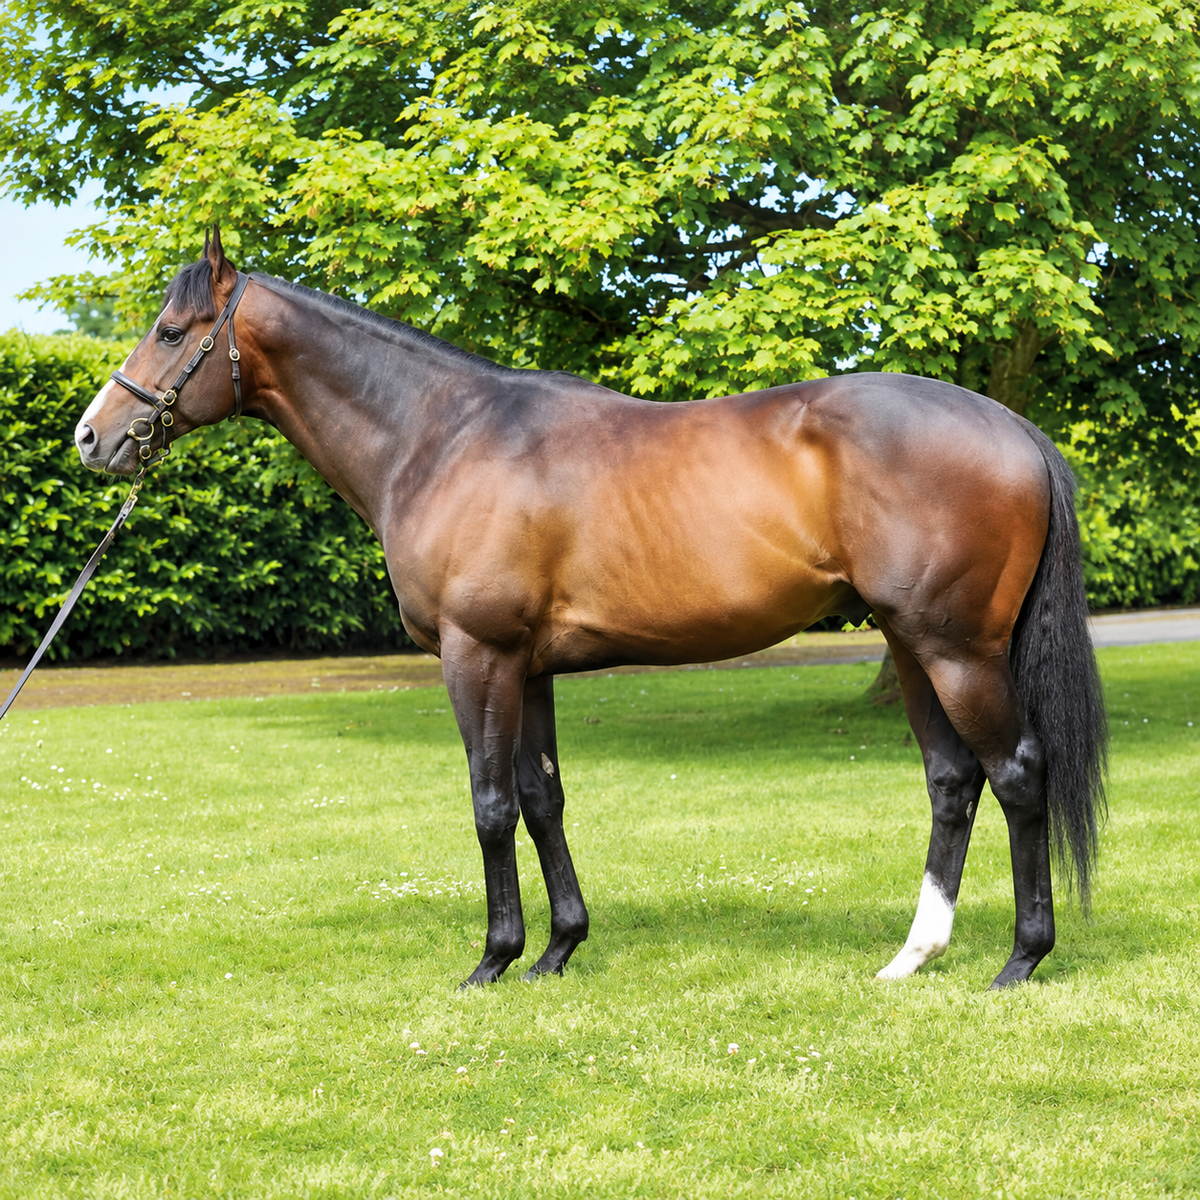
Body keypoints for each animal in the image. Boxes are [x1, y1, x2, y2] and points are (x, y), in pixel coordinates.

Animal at [75, 231, 1107, 989]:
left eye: (172, 330)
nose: (92, 437)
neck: (442, 435)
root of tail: (1011, 426)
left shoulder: (476, 654)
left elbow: (491, 803)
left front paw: (492, 961)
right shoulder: (528, 666)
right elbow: (542, 799)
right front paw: (558, 950)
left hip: (956, 649)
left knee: (1017, 774)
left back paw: (1022, 960)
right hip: (909, 643)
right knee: (953, 782)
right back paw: (912, 957)